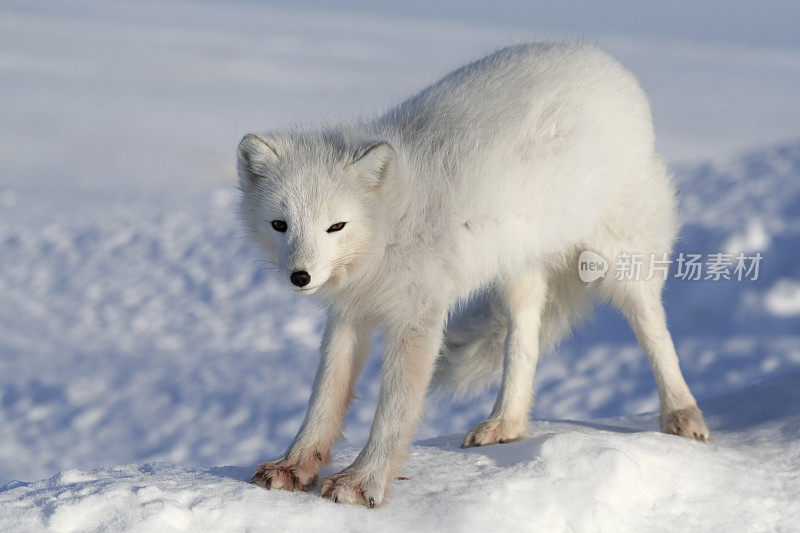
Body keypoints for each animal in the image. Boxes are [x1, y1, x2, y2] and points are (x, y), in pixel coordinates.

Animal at [236, 42, 708, 508]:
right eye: (279, 224)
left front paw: (363, 480)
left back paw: (682, 413)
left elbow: (394, 409)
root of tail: (608, 62)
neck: (392, 225)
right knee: (524, 343)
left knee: (653, 327)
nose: (300, 277)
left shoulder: (418, 315)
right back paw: (507, 423)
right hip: (517, 273)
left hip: (620, 259)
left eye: (336, 226)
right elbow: (324, 396)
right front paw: (294, 465)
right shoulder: (351, 312)